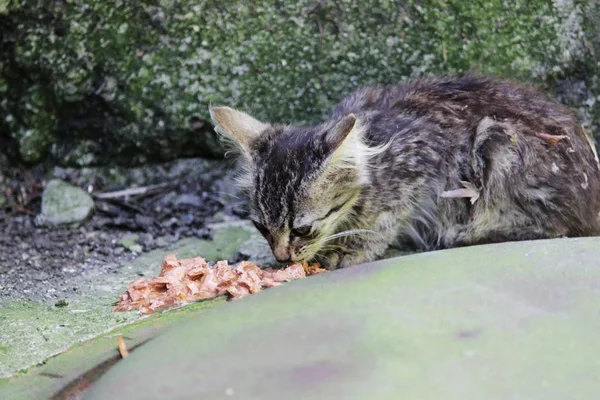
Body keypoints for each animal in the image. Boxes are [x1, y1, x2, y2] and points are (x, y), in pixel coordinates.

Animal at [210, 74, 600, 268]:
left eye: (302, 229)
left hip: (497, 140)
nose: (281, 257)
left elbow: (387, 219)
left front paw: (354, 248)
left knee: (556, 227)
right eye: (261, 227)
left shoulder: (427, 165)